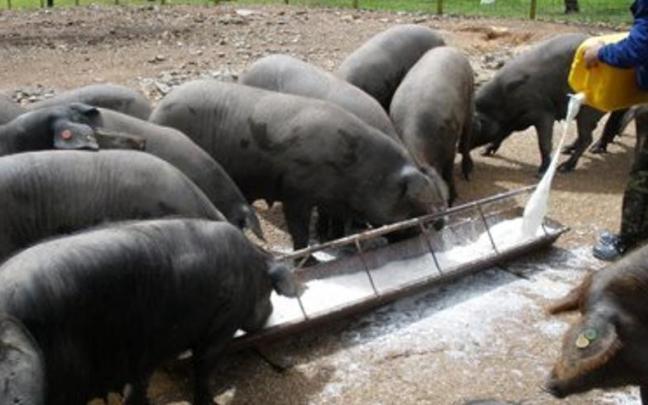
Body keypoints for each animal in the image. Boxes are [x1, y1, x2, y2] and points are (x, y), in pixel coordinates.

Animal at [0, 218, 301, 405]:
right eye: (268, 291)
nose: (270, 313)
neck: (252, 271)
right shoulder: (222, 324)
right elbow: (204, 367)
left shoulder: (144, 352)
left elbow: (138, 386)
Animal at [150, 80, 448, 250]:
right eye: (415, 203)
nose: (439, 223)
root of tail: (157, 111)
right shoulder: (296, 190)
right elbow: (299, 227)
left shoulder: (334, 199)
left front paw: (333, 242)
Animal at [390, 46, 474, 205]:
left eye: (440, 202)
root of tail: (448, 48)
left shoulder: (449, 145)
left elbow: (448, 172)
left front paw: (454, 197)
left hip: (470, 97)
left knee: (467, 135)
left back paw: (468, 173)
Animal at [472, 33, 607, 174]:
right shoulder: (511, 121)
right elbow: (502, 135)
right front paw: (484, 152)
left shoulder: (544, 113)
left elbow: (544, 143)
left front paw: (541, 171)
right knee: (589, 132)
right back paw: (566, 149)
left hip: (587, 111)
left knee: (587, 139)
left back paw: (564, 167)